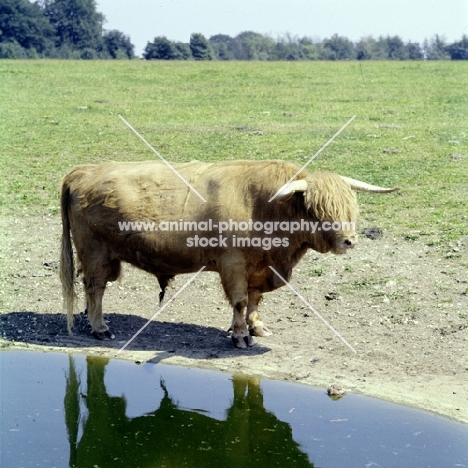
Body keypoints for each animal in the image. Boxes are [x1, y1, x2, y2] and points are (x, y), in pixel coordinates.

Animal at [59, 160, 398, 348]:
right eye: (317, 211)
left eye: (349, 207)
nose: (349, 241)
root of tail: (83, 171)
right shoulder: (233, 263)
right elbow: (239, 300)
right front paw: (240, 335)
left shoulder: (260, 268)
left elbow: (254, 300)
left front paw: (256, 326)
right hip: (95, 252)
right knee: (95, 288)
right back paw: (100, 328)